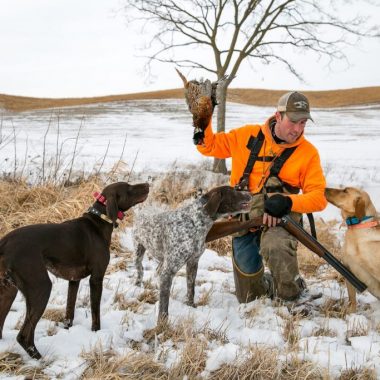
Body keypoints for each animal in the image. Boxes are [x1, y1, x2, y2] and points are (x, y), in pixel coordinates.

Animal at [0, 181, 148, 360]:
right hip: (40, 287)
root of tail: (4, 243)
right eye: (129, 188)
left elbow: (69, 312)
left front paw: (68, 331)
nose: (148, 185)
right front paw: (96, 333)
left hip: (8, 291)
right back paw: (39, 358)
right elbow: (95, 312)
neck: (98, 221)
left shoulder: (73, 280)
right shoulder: (96, 278)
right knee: (24, 335)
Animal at [134, 186, 252, 322]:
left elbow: (191, 289)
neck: (194, 222)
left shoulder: (192, 263)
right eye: (234, 191)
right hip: (138, 253)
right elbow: (164, 303)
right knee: (140, 270)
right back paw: (137, 286)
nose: (250, 194)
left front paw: (190, 306)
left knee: (157, 271)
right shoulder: (169, 271)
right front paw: (162, 323)